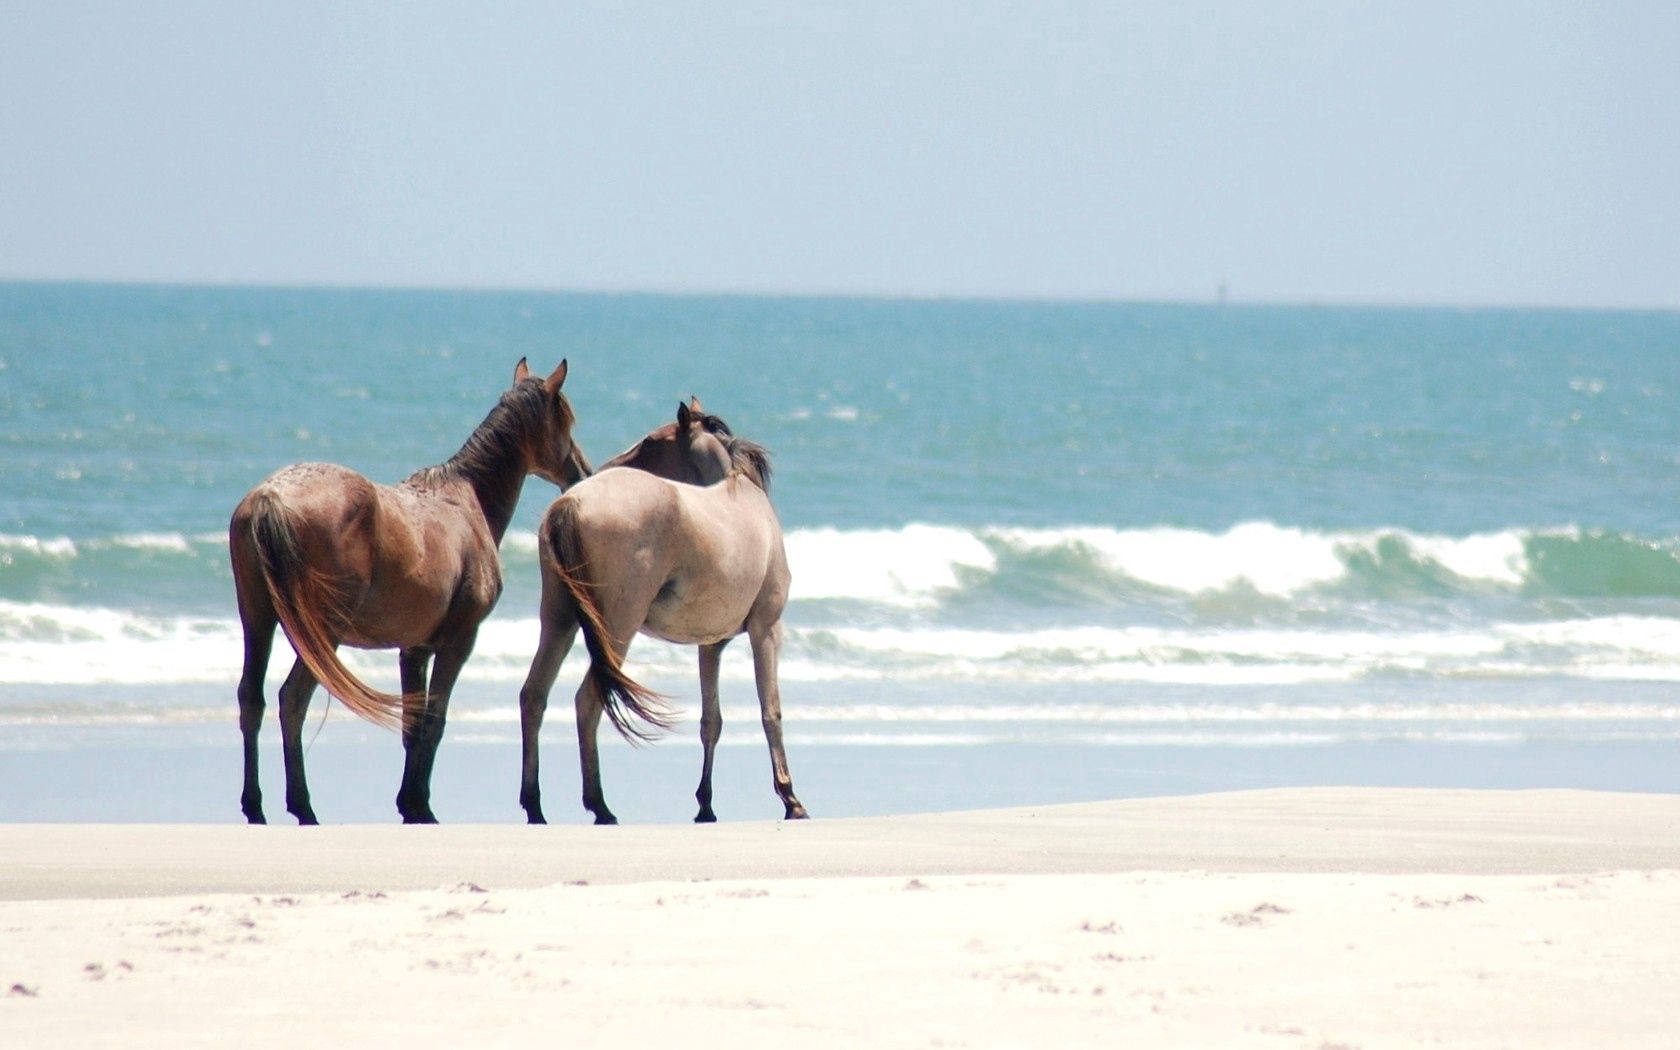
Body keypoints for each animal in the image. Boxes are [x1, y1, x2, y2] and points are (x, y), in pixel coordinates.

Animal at [230, 359, 584, 826]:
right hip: (322, 634)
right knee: (293, 700)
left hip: (257, 621)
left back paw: (255, 807)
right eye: (566, 420)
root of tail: (271, 497)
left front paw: (410, 803)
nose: (581, 473)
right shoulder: (458, 641)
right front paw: (421, 805)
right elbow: (434, 718)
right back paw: (303, 807)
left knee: (251, 700)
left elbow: (413, 725)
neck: (465, 500)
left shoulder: (413, 649)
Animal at [520, 396, 809, 823]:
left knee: (533, 697)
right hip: (616, 629)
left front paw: (705, 805)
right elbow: (770, 711)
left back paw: (535, 806)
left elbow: (711, 721)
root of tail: (570, 503)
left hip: (559, 622)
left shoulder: (711, 645)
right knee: (588, 701)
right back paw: (600, 806)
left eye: (650, 442)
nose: (592, 468)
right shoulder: (766, 630)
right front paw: (790, 798)